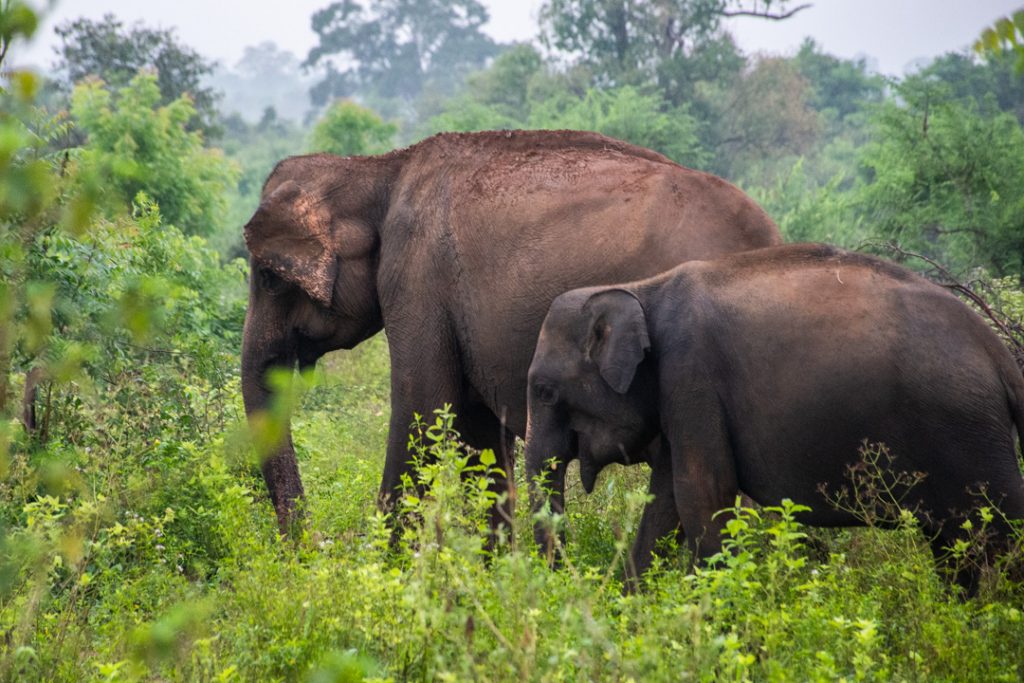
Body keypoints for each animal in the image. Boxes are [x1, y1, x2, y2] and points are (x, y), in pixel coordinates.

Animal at [241, 129, 781, 534]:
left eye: (268, 277)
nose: (308, 546)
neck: (376, 169)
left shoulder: (417, 276)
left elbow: (422, 409)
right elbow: (479, 433)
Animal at [525, 243, 1024, 593]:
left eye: (544, 391)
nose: (564, 582)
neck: (644, 288)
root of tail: (1000, 354)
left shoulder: (692, 376)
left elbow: (702, 494)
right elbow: (665, 503)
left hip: (967, 434)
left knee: (1001, 533)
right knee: (955, 547)